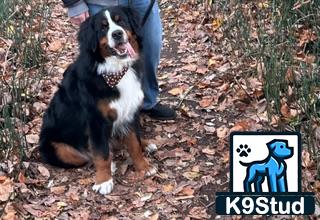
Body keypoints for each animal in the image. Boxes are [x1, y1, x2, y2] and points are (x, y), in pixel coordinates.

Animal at [38, 6, 158, 194]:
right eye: (103, 28)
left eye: (121, 21)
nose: (117, 34)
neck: (115, 70)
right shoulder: (96, 120)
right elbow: (101, 153)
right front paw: (103, 180)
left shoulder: (129, 111)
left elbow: (134, 143)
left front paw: (144, 167)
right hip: (57, 148)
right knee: (87, 156)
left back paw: (146, 145)